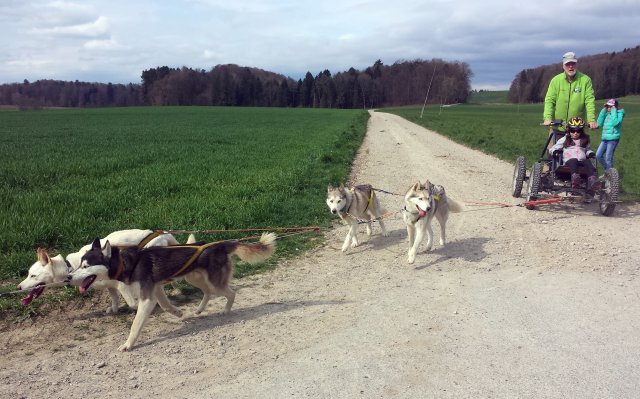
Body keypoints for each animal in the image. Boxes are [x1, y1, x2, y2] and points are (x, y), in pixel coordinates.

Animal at [16, 228, 185, 312]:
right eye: (28, 274)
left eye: (33, 275)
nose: (18, 287)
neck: (71, 267)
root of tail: (163, 234)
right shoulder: (111, 285)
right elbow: (114, 298)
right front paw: (114, 309)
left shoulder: (123, 284)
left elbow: (133, 303)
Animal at [69, 233, 276, 352]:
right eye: (79, 264)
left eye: (86, 266)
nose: (70, 276)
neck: (126, 263)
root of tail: (218, 244)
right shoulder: (157, 289)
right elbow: (166, 305)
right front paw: (179, 313)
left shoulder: (147, 297)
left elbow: (135, 325)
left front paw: (128, 344)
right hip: (193, 278)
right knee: (208, 292)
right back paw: (199, 309)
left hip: (213, 281)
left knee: (230, 293)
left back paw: (226, 310)